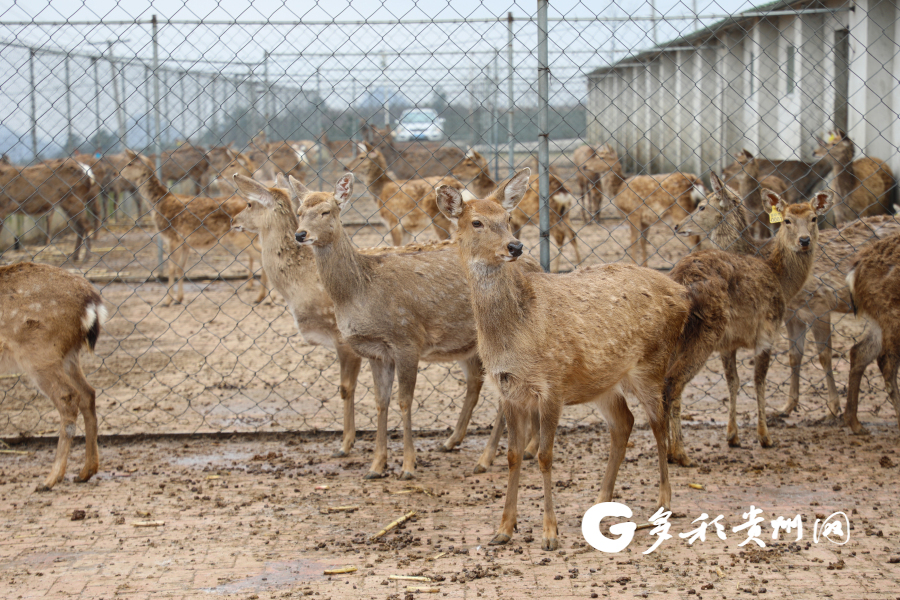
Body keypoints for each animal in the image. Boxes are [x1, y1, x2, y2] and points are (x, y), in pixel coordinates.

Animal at [116, 152, 266, 304]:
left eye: (129, 164)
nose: (118, 173)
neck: (158, 205)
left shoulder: (172, 237)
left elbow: (171, 268)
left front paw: (167, 301)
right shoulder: (185, 243)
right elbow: (180, 268)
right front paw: (179, 298)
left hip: (242, 237)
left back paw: (261, 297)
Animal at [436, 166, 688, 552]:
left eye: (507, 218)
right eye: (476, 222)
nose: (515, 246)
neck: (516, 334)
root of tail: (683, 294)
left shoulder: (552, 384)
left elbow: (544, 455)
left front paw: (550, 534)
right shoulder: (508, 389)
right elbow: (513, 455)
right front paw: (503, 529)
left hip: (651, 364)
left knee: (658, 424)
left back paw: (663, 503)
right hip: (604, 381)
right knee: (624, 422)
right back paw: (600, 501)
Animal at [664, 171, 832, 466]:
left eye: (814, 218)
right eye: (786, 219)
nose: (804, 241)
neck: (780, 276)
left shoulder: (729, 343)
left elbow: (734, 381)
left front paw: (733, 437)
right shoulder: (767, 329)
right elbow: (758, 379)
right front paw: (765, 437)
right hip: (705, 333)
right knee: (674, 382)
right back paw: (681, 454)